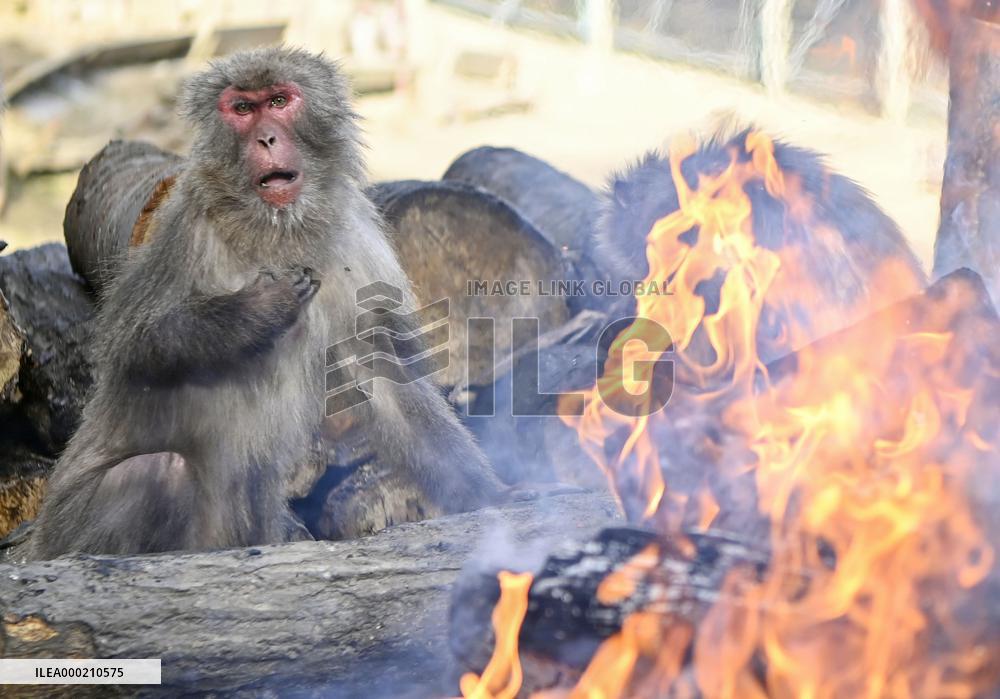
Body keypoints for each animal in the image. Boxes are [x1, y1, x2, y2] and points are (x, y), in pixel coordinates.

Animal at [29, 47, 505, 558]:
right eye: (242, 108)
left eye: (278, 100)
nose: (266, 137)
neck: (277, 230)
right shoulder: (183, 231)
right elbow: (131, 348)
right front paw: (260, 309)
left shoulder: (356, 238)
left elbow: (383, 372)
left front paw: (487, 492)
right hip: (71, 529)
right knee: (157, 470)